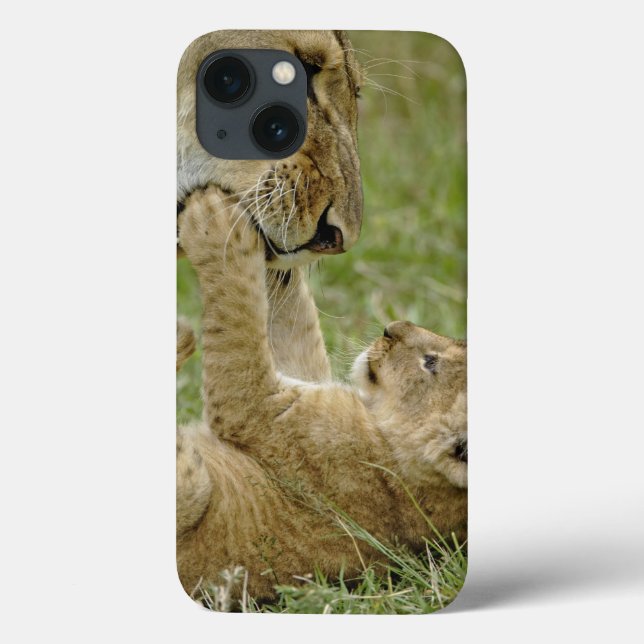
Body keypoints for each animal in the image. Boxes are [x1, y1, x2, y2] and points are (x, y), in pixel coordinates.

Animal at [176, 188, 467, 603]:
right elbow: (292, 322)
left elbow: (239, 324)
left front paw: (214, 219)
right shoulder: (305, 382)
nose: (391, 328)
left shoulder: (268, 412)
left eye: (430, 363)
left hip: (195, 489)